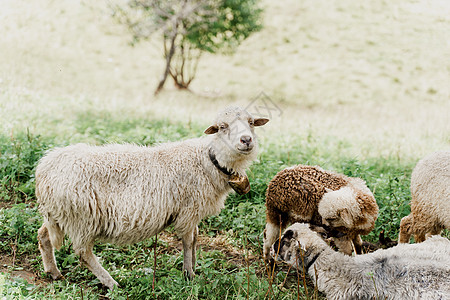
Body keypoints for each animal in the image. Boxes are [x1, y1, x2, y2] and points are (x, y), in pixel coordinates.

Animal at [36, 106, 268, 290]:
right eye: (222, 126)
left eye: (251, 122)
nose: (246, 140)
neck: (207, 161)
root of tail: (45, 169)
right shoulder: (188, 210)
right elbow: (188, 241)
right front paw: (189, 274)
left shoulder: (193, 211)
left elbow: (195, 239)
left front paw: (193, 268)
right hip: (82, 219)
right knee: (84, 253)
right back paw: (112, 283)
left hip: (58, 215)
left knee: (43, 235)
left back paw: (53, 272)